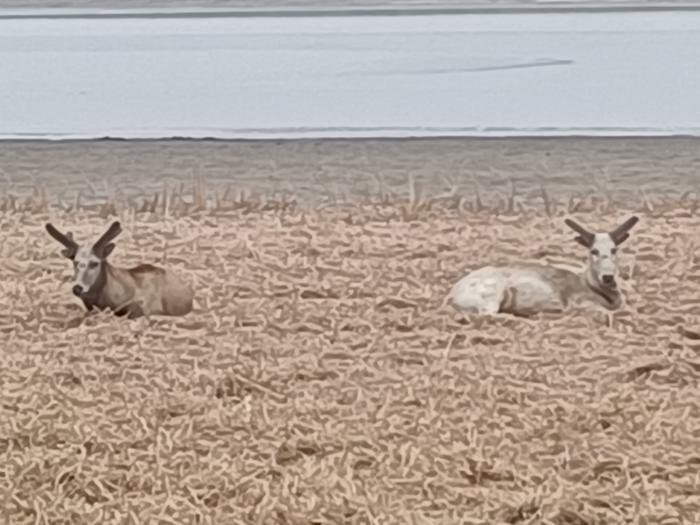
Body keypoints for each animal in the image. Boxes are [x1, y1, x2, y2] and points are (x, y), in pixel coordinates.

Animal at [448, 216, 640, 318]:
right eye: (593, 250)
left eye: (614, 249)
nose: (608, 277)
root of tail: (451, 296)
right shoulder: (579, 302)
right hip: (492, 295)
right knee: (488, 314)